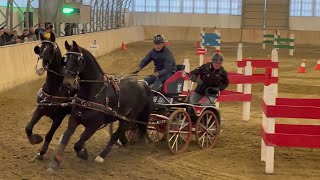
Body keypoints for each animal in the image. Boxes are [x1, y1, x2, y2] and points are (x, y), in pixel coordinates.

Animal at [25, 33, 72, 161]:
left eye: (51, 50)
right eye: (39, 49)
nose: (39, 69)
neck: (55, 89)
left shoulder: (59, 118)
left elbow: (49, 135)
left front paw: (42, 152)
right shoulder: (40, 109)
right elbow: (28, 127)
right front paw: (36, 139)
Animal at [47, 40, 153, 172]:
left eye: (78, 60)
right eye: (65, 60)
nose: (67, 84)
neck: (92, 94)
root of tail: (142, 84)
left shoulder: (94, 125)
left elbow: (78, 144)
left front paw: (83, 153)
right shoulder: (74, 120)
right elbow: (66, 138)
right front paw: (54, 163)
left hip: (130, 117)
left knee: (118, 133)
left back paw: (102, 156)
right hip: (122, 116)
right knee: (124, 130)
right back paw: (124, 142)